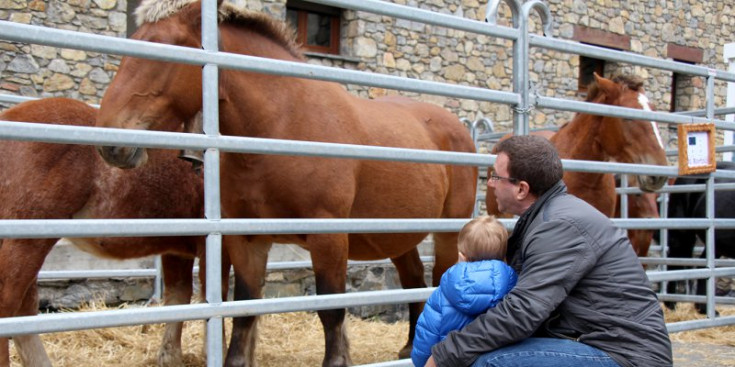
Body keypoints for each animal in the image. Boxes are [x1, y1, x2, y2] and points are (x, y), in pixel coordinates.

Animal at [93, 1, 478, 366]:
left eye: (164, 46)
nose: (109, 140)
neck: (281, 125)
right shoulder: (247, 239)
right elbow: (244, 307)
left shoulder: (328, 238)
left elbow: (331, 309)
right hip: (396, 234)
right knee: (413, 280)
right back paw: (410, 347)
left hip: (447, 232)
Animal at [668, 161, 735, 314]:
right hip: (681, 234)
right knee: (673, 263)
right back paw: (671, 305)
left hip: (715, 245)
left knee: (702, 267)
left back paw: (703, 308)